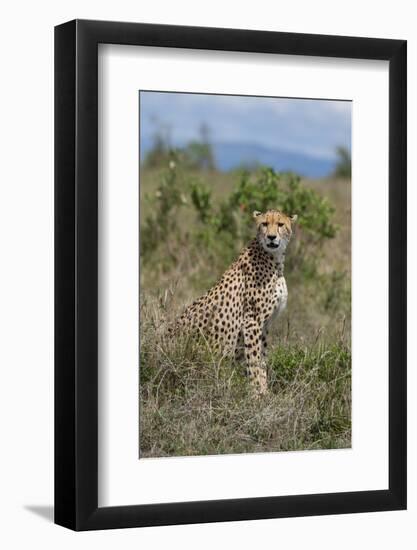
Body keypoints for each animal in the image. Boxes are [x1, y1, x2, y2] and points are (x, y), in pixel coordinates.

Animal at [174, 209, 298, 394]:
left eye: (280, 224)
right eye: (264, 224)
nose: (271, 237)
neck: (274, 260)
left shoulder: (265, 325)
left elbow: (262, 359)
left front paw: (265, 393)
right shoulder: (252, 321)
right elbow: (253, 360)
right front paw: (255, 394)